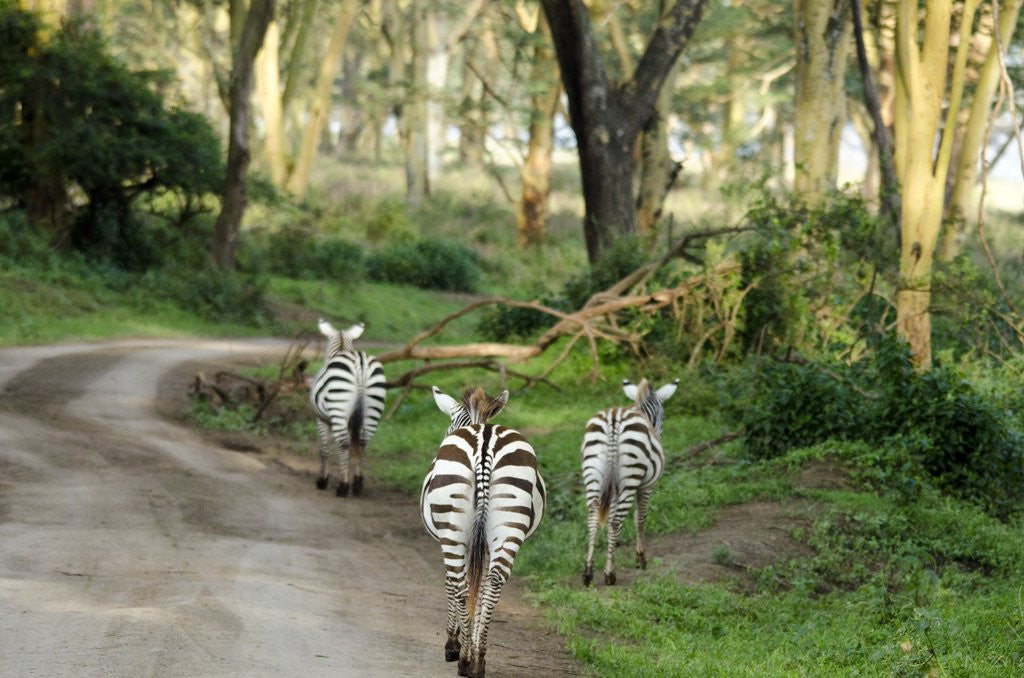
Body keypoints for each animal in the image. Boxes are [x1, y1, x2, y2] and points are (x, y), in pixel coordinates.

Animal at [309, 318, 386, 497]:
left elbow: (324, 450)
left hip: (339, 408)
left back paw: (343, 486)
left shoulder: (321, 420)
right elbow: (354, 447)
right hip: (373, 409)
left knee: (343, 443)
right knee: (363, 443)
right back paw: (358, 484)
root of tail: (360, 362)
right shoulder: (353, 422)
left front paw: (322, 480)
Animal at [421, 386, 546, 678]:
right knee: (493, 582)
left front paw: (453, 643)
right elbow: (482, 581)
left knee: (461, 585)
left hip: (452, 527)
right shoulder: (484, 542)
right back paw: (477, 660)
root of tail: (484, 440)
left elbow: (452, 583)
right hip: (510, 522)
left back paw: (465, 659)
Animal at [581, 377, 678, 586]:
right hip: (630, 481)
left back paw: (588, 573)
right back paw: (610, 574)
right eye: (664, 417)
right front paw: (641, 559)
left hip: (593, 477)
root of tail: (613, 419)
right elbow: (640, 518)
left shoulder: (613, 488)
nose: (658, 435)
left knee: (593, 519)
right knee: (616, 521)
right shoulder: (646, 487)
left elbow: (610, 519)